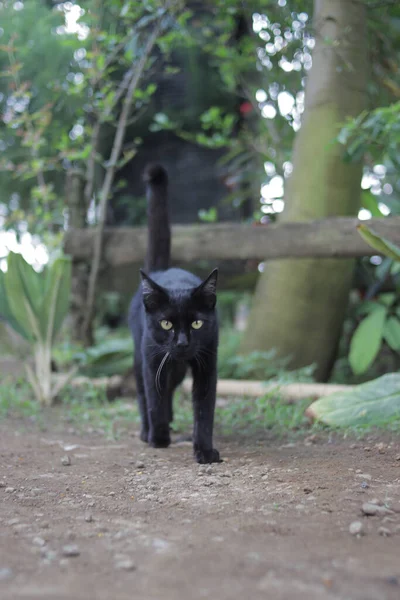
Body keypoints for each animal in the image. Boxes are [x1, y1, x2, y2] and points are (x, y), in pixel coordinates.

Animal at [129, 163, 220, 464]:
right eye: (166, 323)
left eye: (197, 323)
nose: (181, 343)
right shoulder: (151, 358)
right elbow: (153, 399)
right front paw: (158, 439)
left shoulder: (207, 363)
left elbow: (204, 410)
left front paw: (204, 450)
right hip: (141, 356)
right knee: (145, 393)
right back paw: (147, 431)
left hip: (177, 368)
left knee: (169, 389)